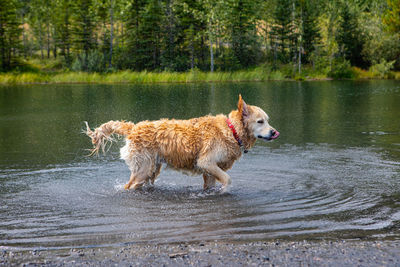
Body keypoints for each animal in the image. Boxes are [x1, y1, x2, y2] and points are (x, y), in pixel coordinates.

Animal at [84, 95, 278, 192]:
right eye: (260, 121)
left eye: (268, 121)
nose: (274, 132)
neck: (232, 131)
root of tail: (134, 127)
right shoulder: (206, 162)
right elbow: (228, 180)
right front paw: (225, 190)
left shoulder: (210, 171)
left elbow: (211, 185)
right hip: (143, 169)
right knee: (129, 185)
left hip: (152, 169)